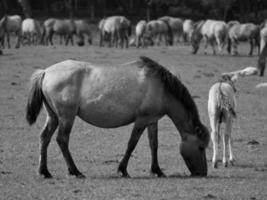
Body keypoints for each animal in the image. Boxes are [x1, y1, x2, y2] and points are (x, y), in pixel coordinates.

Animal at [26, 55, 211, 178]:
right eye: (201, 147)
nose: (202, 173)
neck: (161, 89)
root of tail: (45, 72)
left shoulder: (152, 121)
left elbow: (154, 145)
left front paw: (157, 170)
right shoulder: (142, 120)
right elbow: (132, 144)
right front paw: (123, 169)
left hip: (54, 117)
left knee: (44, 138)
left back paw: (45, 172)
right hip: (67, 117)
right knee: (62, 140)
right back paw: (75, 171)